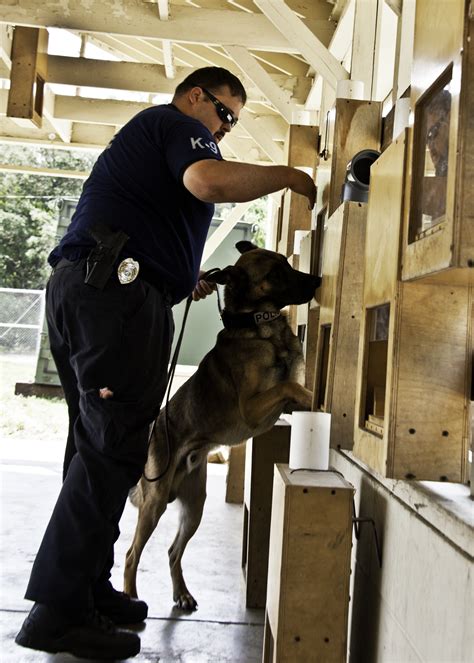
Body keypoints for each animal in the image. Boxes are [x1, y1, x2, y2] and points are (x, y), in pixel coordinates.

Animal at [124, 241, 320, 608]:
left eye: (287, 264)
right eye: (275, 273)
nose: (317, 280)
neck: (260, 327)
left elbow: (295, 384)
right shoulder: (251, 409)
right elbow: (288, 386)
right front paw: (313, 397)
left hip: (195, 507)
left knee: (173, 551)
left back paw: (182, 594)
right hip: (155, 503)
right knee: (132, 555)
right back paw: (129, 596)